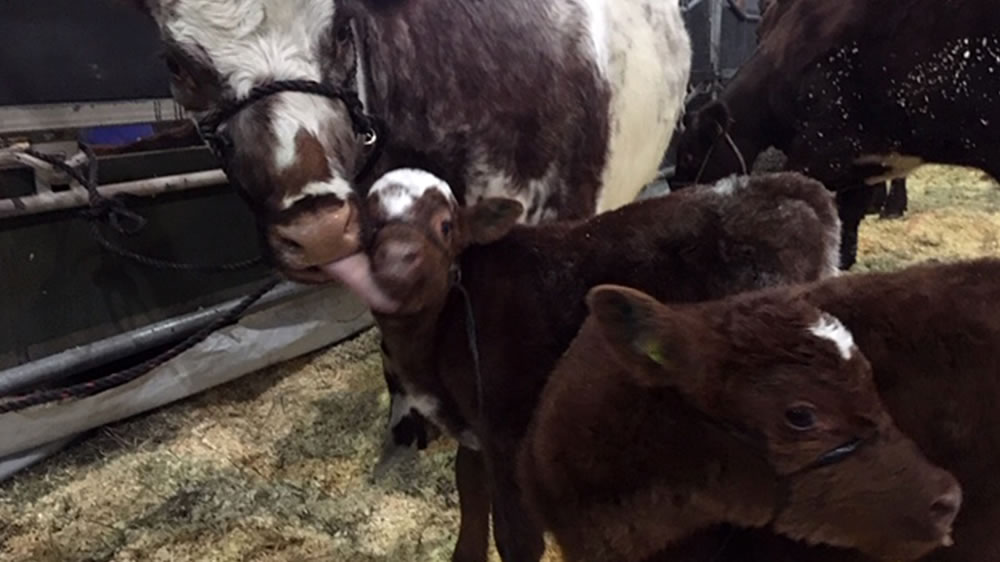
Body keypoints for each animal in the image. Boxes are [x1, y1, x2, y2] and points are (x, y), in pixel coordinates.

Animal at [338, 167, 844, 560]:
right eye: (369, 227)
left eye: (445, 226)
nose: (396, 266)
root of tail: (792, 186)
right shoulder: (474, 433)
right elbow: (470, 497)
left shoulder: (506, 432)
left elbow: (515, 538)